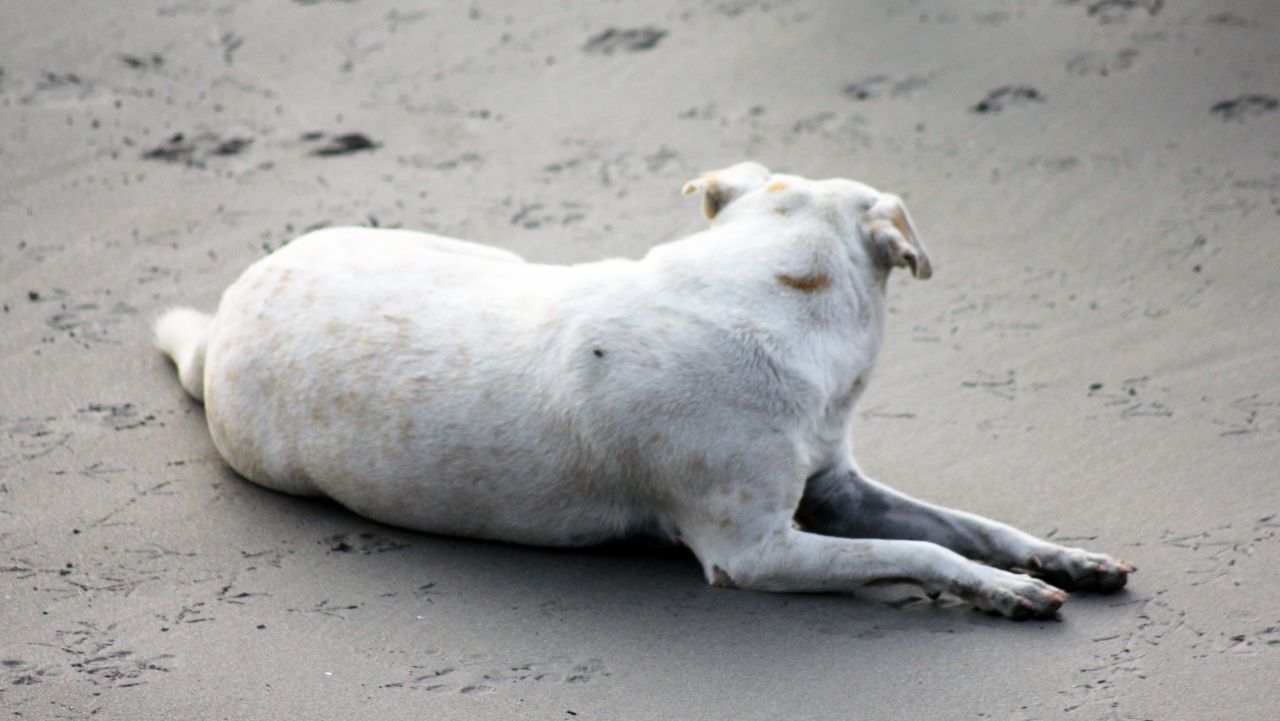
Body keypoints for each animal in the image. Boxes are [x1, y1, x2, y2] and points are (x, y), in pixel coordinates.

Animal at [157, 163, 1131, 619]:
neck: (768, 291)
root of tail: (225, 312)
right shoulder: (758, 551)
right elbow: (929, 551)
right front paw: (1004, 591)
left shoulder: (837, 486)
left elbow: (972, 525)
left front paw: (1062, 559)